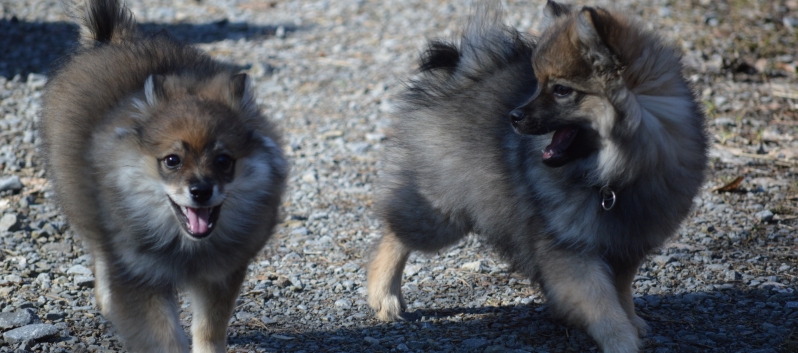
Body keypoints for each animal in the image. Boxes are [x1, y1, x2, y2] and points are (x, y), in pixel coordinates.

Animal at [38, 1, 288, 350]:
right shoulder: (138, 277)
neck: (186, 248)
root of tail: (110, 42)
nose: (201, 190)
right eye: (172, 160)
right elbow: (165, 337)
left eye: (224, 160)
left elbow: (208, 330)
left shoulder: (220, 275)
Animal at [368, 1, 708, 350]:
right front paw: (621, 341)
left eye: (561, 90)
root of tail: (459, 74)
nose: (514, 116)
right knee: (394, 235)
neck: (613, 177)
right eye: (538, 84)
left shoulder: (627, 244)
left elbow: (622, 293)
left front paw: (633, 323)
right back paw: (384, 296)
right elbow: (602, 304)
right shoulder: (569, 249)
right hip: (441, 213)